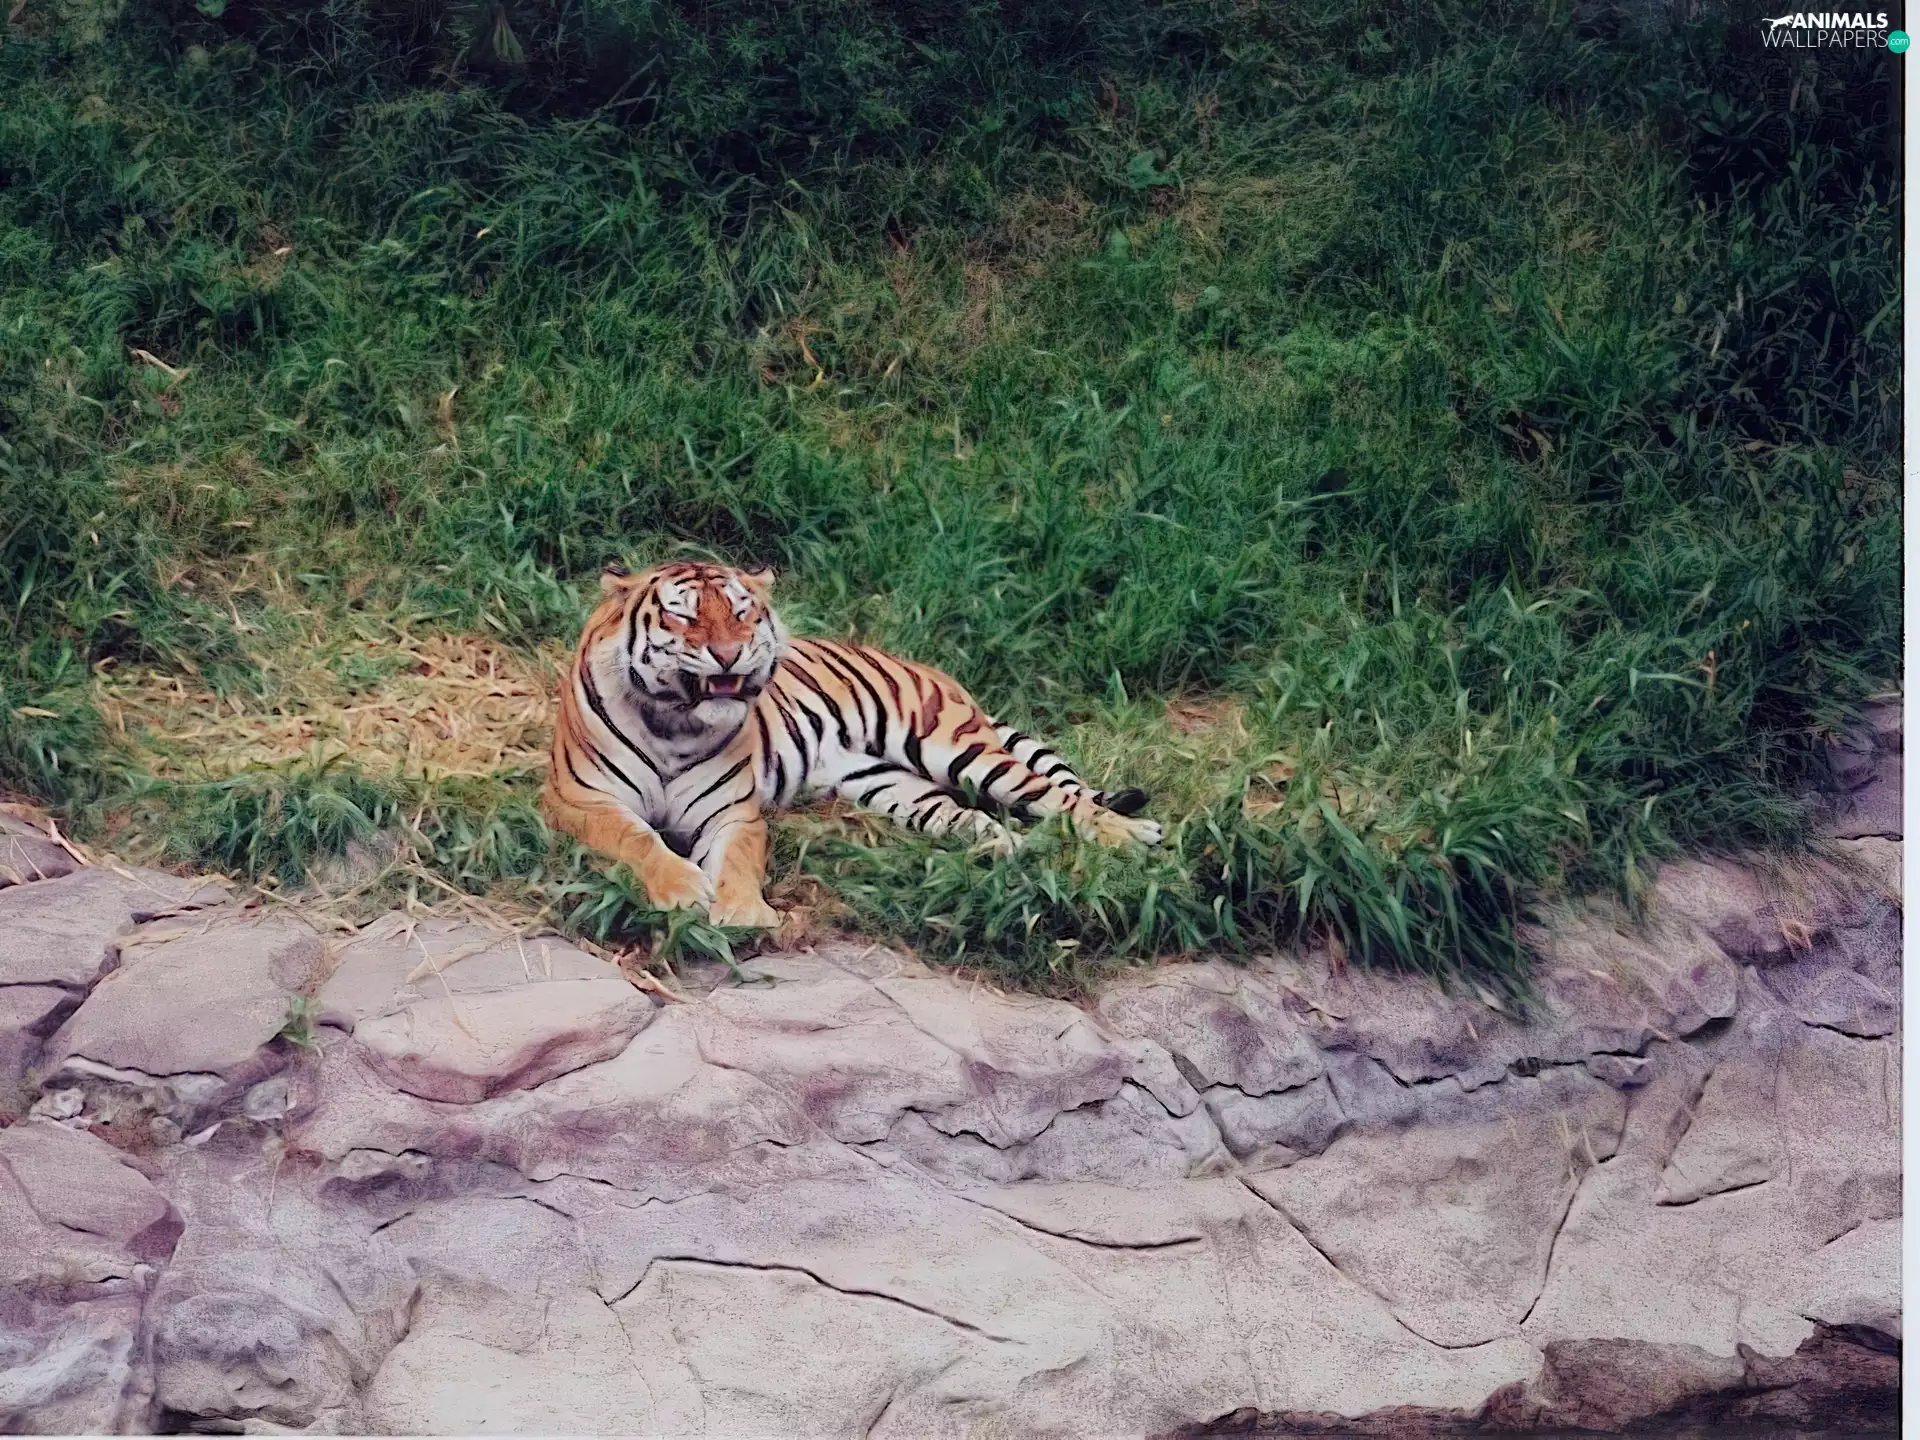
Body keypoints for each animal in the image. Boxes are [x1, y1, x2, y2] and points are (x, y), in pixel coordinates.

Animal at [543, 560, 1162, 929]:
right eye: (683, 615)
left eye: (742, 613)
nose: (729, 654)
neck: (675, 722)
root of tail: (933, 670)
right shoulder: (583, 801)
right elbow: (638, 841)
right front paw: (682, 889)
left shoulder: (733, 815)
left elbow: (739, 863)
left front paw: (744, 913)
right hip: (893, 786)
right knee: (980, 820)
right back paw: (1009, 854)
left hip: (960, 751)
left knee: (1063, 800)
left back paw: (1134, 835)